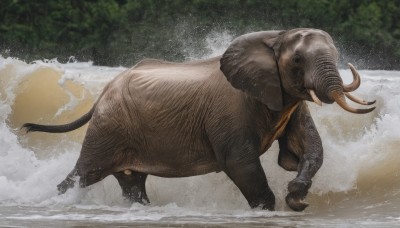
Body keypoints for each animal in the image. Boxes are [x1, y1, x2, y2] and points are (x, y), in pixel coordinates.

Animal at [24, 28, 376, 212]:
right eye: (299, 60)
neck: (273, 38)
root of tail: (102, 94)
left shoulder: (289, 99)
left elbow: (308, 149)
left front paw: (297, 197)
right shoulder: (230, 109)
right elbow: (239, 162)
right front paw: (273, 206)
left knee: (132, 183)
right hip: (109, 127)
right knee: (85, 174)